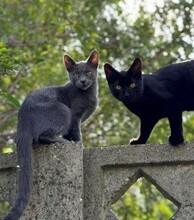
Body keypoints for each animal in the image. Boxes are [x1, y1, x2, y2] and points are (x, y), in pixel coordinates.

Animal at [3, 50, 98, 220]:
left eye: (88, 72)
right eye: (75, 74)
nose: (82, 81)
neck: (89, 94)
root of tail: (23, 121)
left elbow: (70, 134)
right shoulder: (75, 116)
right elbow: (77, 134)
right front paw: (80, 146)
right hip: (63, 111)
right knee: (43, 136)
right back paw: (61, 142)